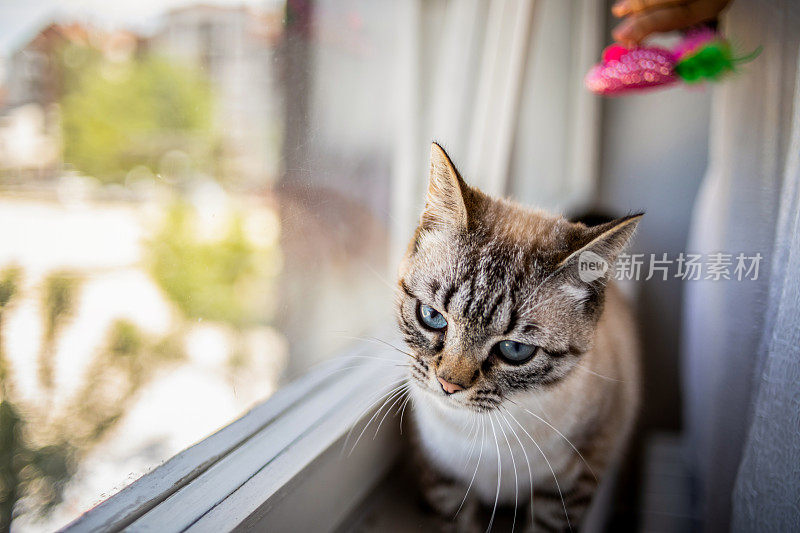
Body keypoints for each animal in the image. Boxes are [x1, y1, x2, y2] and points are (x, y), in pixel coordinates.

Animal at [396, 143, 640, 528]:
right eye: (433, 317)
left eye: (514, 350)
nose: (448, 385)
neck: (483, 433)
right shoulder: (443, 480)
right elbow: (459, 521)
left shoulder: (567, 493)